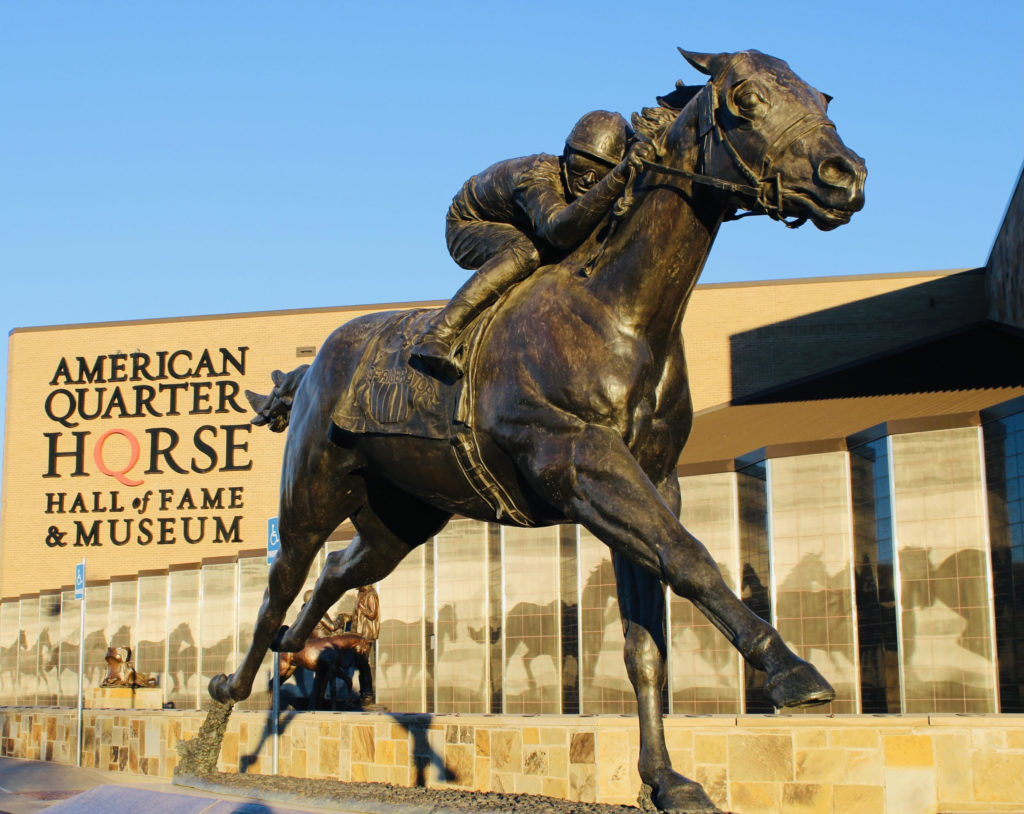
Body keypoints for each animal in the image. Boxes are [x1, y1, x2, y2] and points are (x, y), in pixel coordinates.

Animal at [209, 47, 864, 810]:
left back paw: (295, 642)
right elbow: (691, 558)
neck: (616, 311)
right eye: (746, 97)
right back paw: (233, 684)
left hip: (402, 517)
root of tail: (312, 365)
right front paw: (795, 672)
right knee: (280, 582)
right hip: (312, 494)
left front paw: (666, 779)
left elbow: (647, 641)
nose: (846, 174)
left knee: (339, 570)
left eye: (822, 96)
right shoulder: (576, 460)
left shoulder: (651, 480)